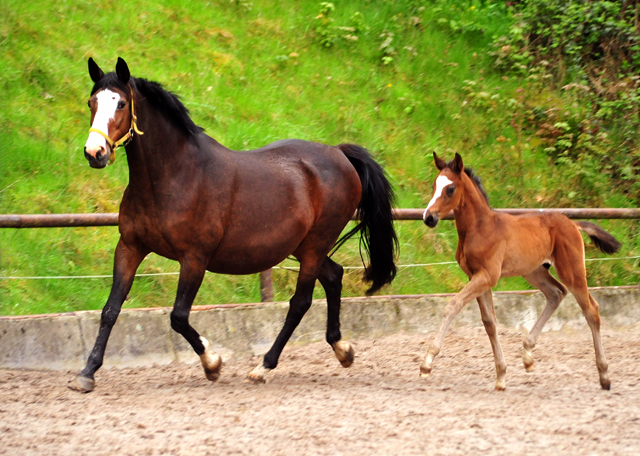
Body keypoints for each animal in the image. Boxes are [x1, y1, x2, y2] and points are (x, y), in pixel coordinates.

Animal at [72, 57, 398, 392]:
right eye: (91, 102)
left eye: (121, 103)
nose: (95, 153)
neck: (174, 176)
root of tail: (340, 154)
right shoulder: (130, 247)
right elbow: (110, 310)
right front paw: (87, 372)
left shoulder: (194, 258)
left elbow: (178, 317)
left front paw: (212, 363)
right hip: (302, 247)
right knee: (334, 276)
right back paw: (342, 349)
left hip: (316, 244)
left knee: (300, 303)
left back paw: (263, 367)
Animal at [420, 151, 620, 390]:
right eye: (434, 185)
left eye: (450, 189)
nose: (428, 217)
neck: (480, 227)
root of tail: (572, 224)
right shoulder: (475, 276)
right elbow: (489, 322)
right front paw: (501, 376)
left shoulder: (487, 275)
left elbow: (453, 305)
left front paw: (427, 364)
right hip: (534, 271)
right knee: (557, 293)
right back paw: (527, 355)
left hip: (571, 270)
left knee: (591, 310)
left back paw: (605, 376)